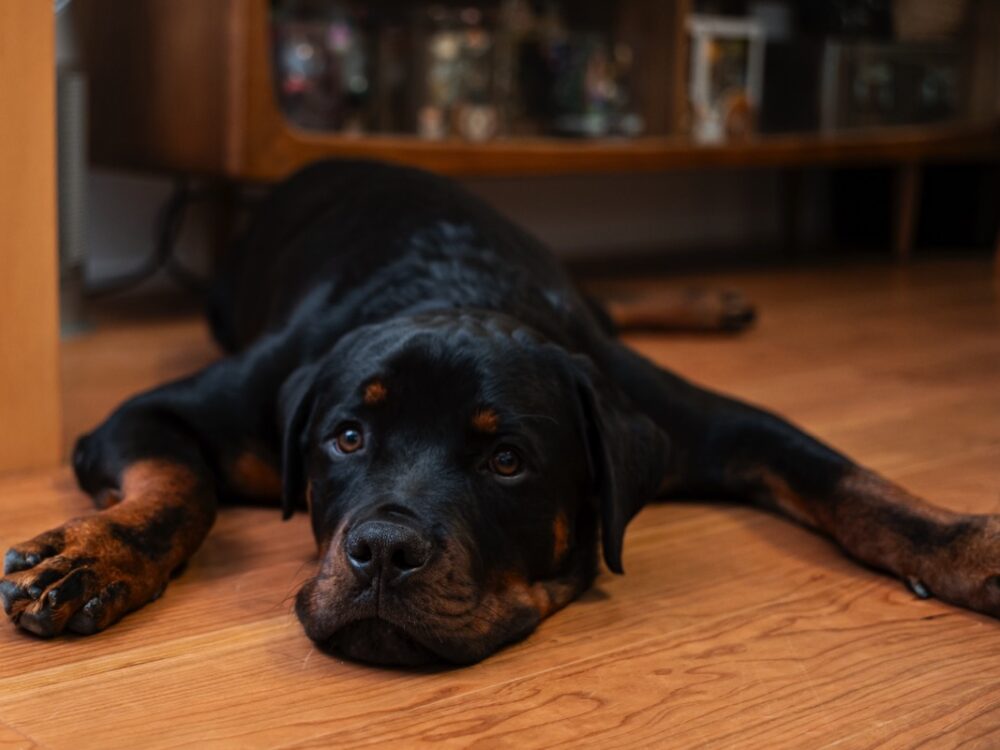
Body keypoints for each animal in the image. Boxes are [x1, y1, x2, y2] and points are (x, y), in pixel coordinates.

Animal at [1, 162, 1000, 668]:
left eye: (508, 460)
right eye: (347, 438)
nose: (382, 551)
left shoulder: (707, 420)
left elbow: (848, 481)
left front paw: (967, 545)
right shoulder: (162, 412)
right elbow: (180, 486)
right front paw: (92, 555)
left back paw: (706, 296)